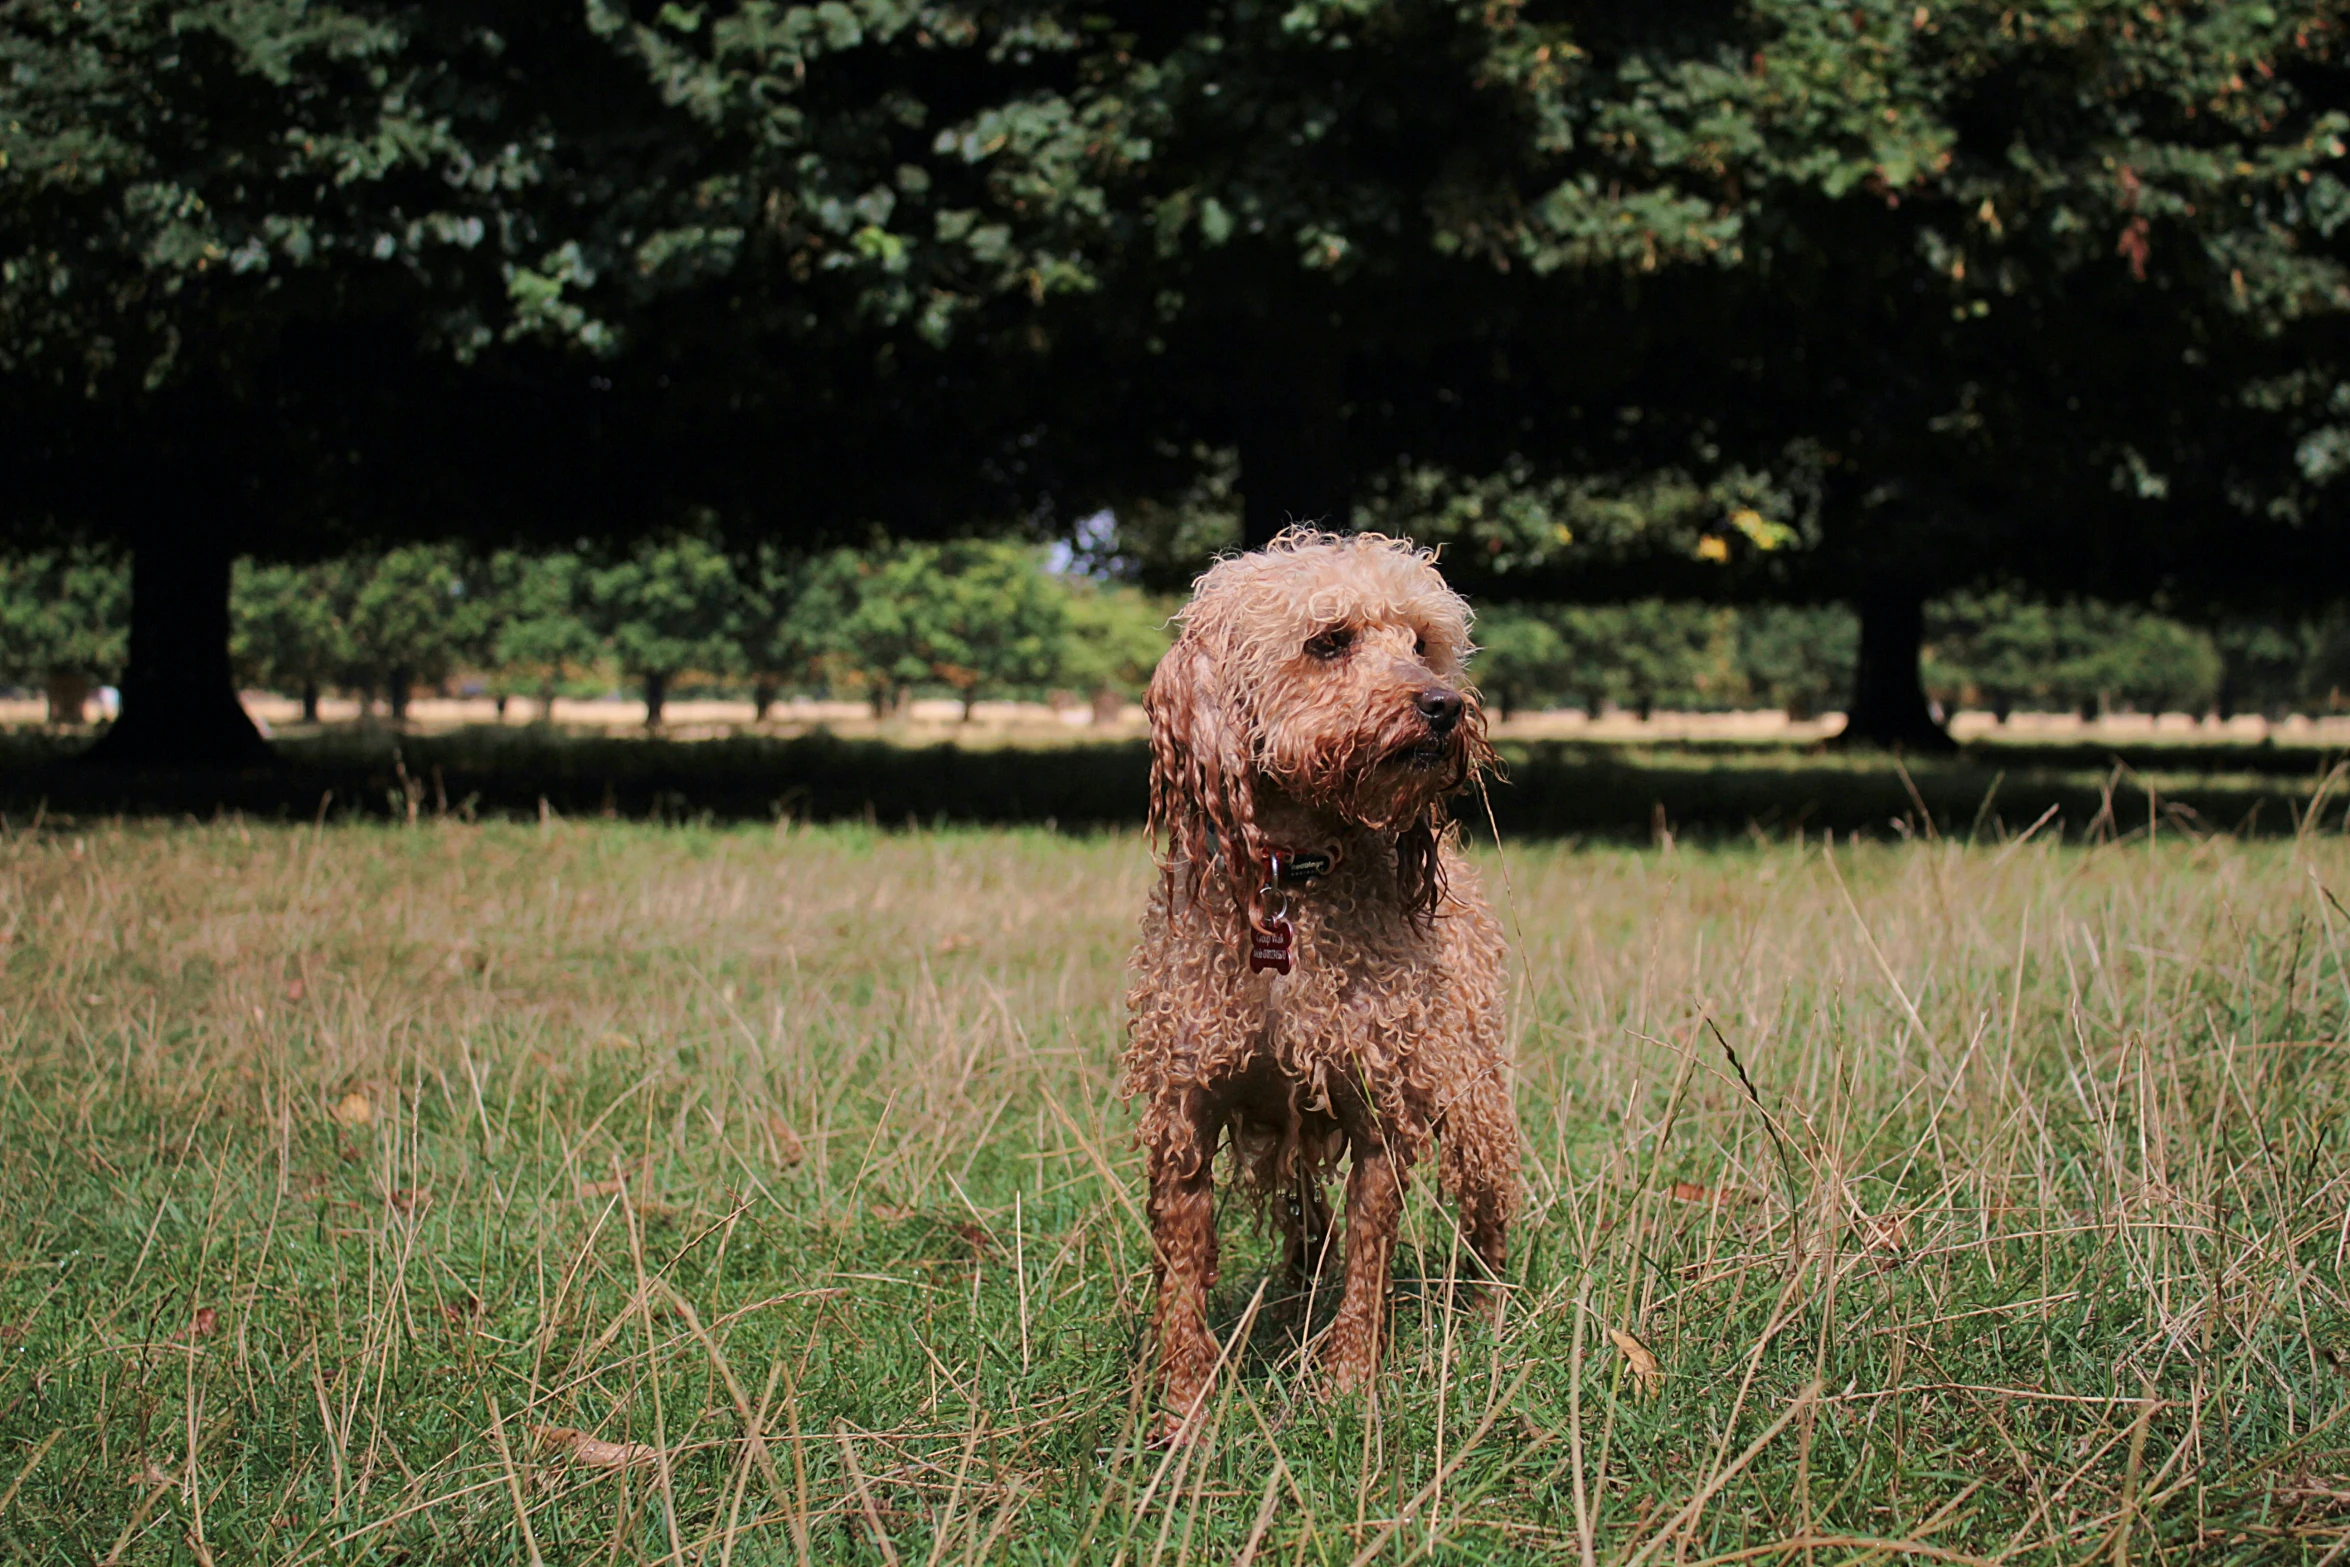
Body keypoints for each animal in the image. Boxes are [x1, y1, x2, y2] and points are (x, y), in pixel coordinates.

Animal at [1123, 523, 1522, 1437]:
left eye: (1422, 643)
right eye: (1329, 641)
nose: (1443, 705)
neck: (1293, 880)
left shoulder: (1384, 1107)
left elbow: (1369, 1262)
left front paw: (1347, 1381)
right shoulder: (1186, 1111)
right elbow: (1182, 1272)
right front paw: (1182, 1405)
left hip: (1473, 1092)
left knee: (1486, 1209)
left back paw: (1487, 1318)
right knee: (1307, 1227)